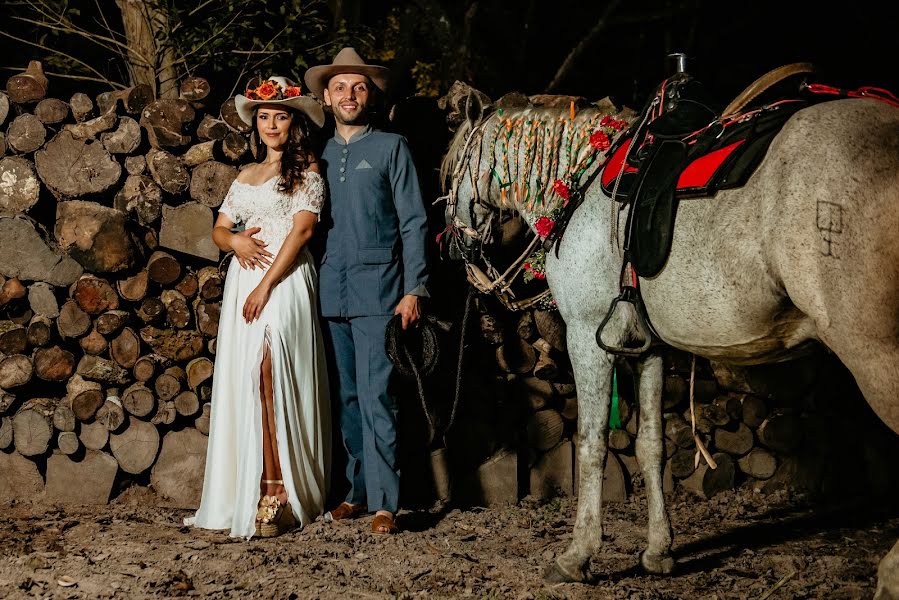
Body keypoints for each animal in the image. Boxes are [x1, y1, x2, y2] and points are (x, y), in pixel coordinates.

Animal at [442, 84, 899, 596]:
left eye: (452, 162)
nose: (455, 247)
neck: (586, 182)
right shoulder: (649, 348)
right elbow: (651, 446)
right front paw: (659, 550)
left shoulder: (586, 338)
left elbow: (592, 444)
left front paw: (577, 555)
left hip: (876, 356)